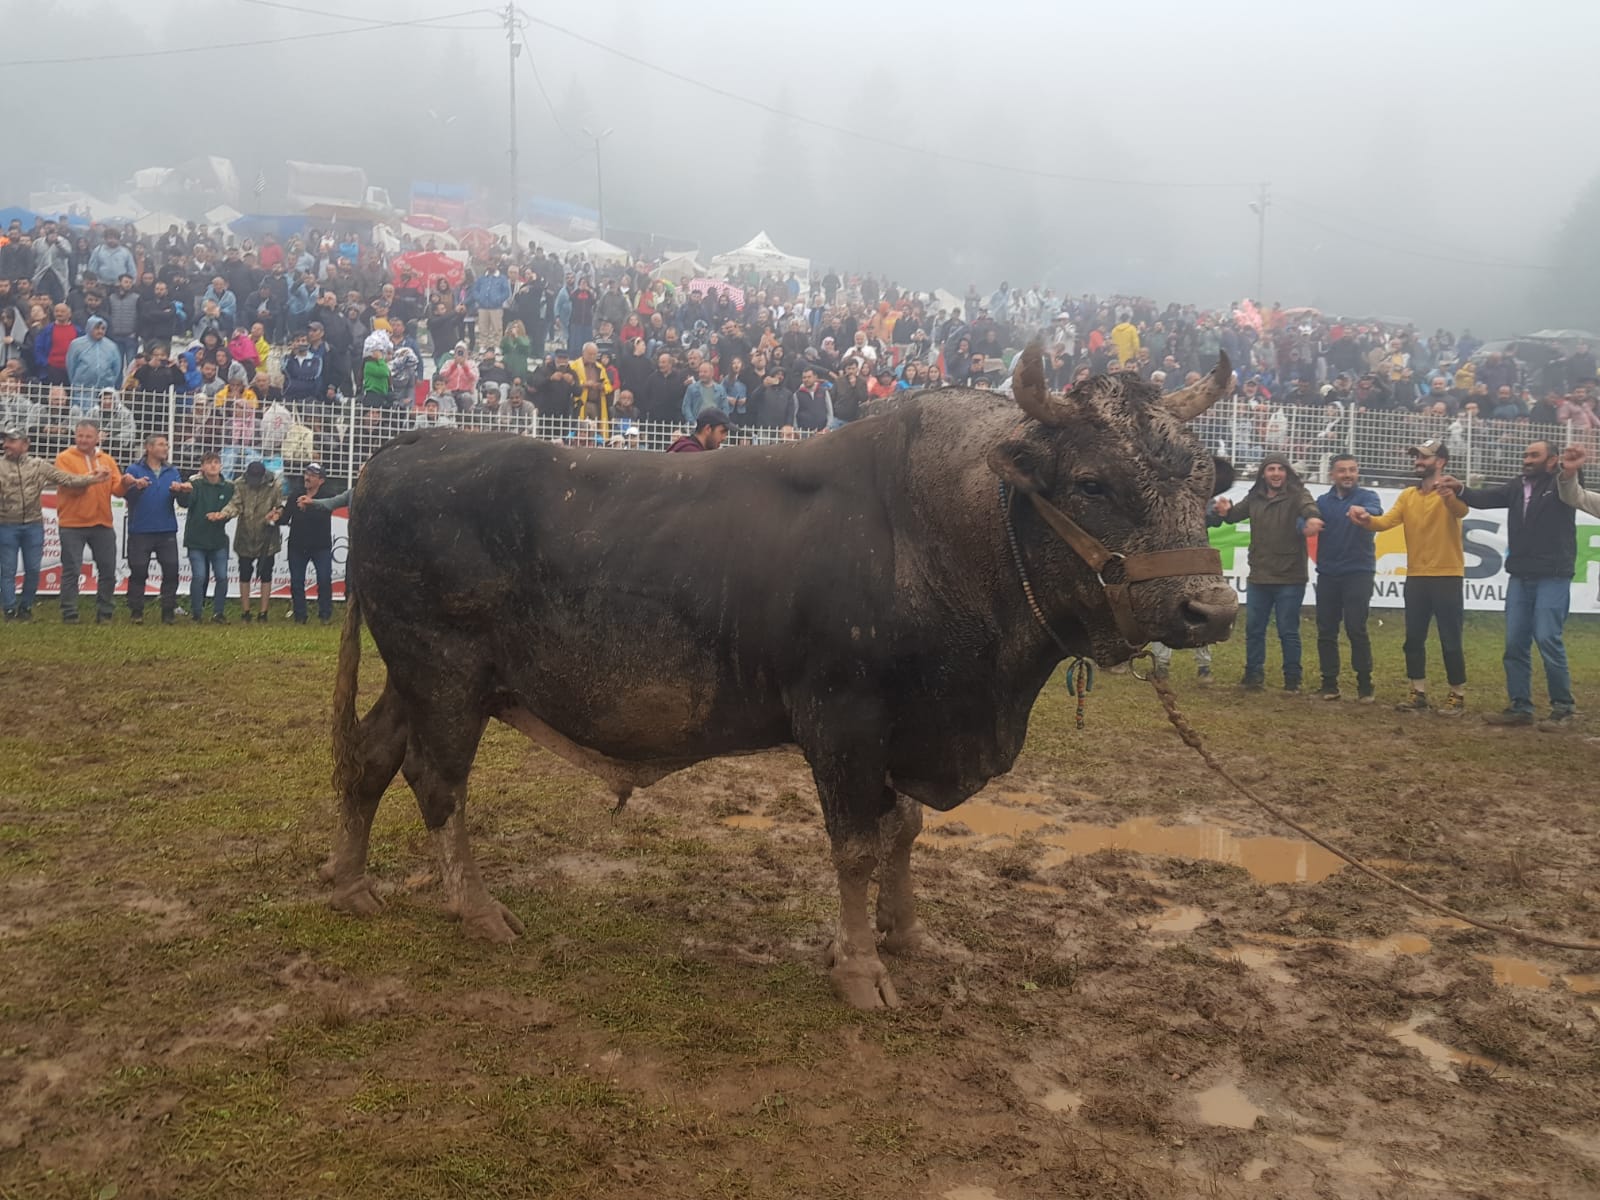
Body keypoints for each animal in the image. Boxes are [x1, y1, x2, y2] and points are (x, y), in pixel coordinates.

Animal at [328, 345, 1235, 1004]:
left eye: (1201, 478)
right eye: (1090, 481)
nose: (1211, 609)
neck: (944, 536)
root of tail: (403, 448)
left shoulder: (907, 728)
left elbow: (905, 831)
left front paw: (908, 935)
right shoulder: (843, 721)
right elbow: (857, 847)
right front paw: (862, 968)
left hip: (420, 679)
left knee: (369, 757)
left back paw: (352, 884)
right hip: (445, 674)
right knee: (437, 782)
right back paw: (476, 908)